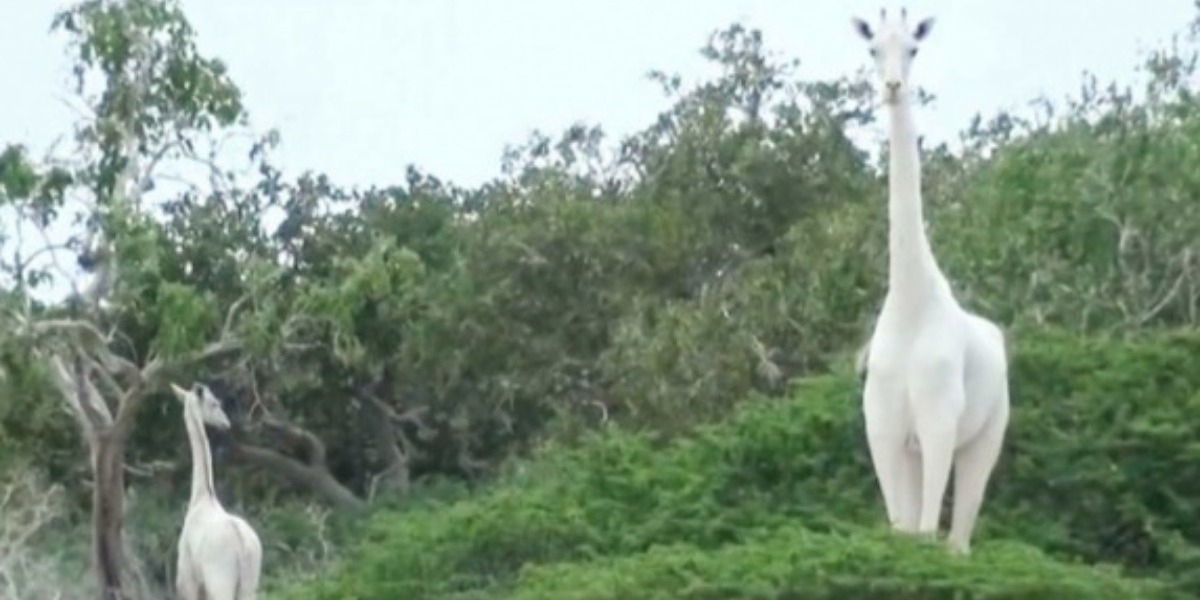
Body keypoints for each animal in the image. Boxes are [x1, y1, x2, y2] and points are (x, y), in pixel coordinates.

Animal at [169, 381, 260, 597]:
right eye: (214, 403)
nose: (226, 424)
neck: (201, 497)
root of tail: (242, 546)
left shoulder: (187, 581)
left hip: (220, 581)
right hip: (249, 585)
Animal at [849, 9, 1008, 554]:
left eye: (914, 49)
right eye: (873, 48)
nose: (893, 86)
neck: (911, 302)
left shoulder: (940, 422)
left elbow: (924, 533)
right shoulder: (882, 428)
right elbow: (902, 530)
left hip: (987, 434)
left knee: (959, 540)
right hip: (915, 448)